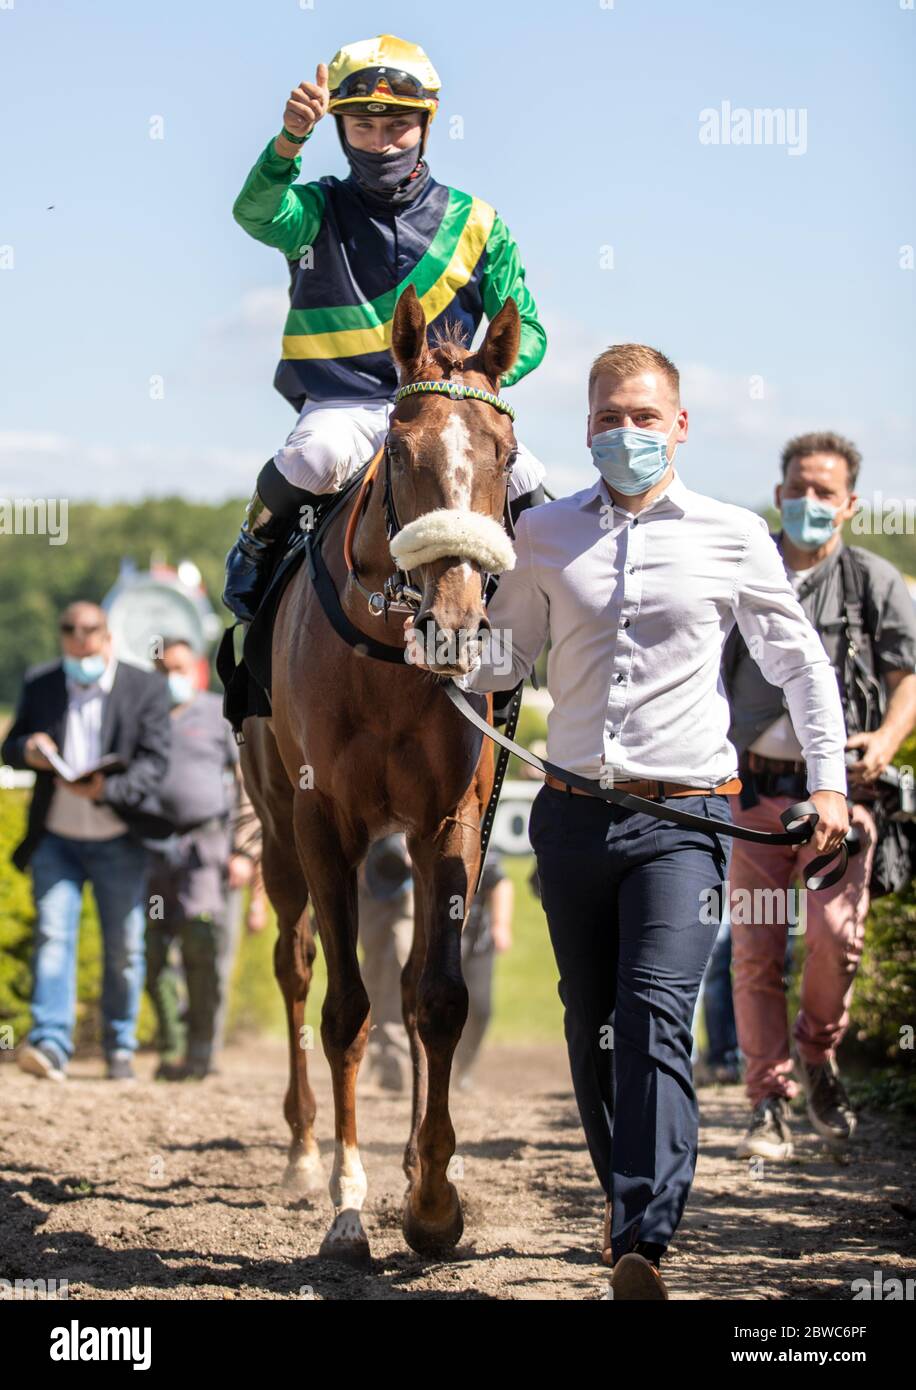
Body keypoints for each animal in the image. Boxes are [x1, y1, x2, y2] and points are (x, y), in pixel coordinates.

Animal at [240, 282, 522, 1262]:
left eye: (505, 455)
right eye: (401, 451)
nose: (455, 623)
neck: (389, 660)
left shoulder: (451, 820)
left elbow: (436, 999)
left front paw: (432, 1201)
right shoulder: (324, 825)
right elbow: (345, 1009)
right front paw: (348, 1199)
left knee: (404, 986)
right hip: (276, 831)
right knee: (293, 967)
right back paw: (301, 1153)